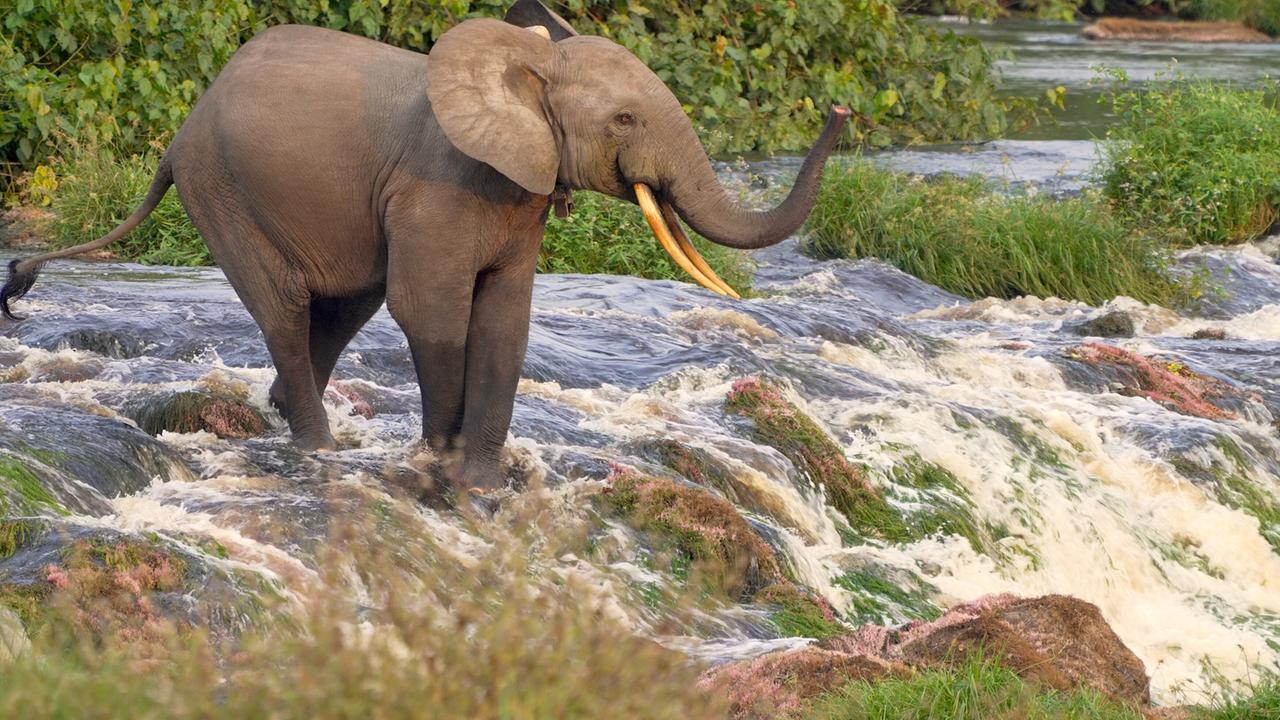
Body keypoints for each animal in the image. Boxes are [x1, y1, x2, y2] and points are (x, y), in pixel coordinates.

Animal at [1, 0, 850, 490]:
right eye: (625, 121)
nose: (841, 110)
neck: (527, 62)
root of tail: (178, 136)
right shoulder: (440, 184)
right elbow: (432, 310)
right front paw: (440, 465)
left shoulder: (517, 198)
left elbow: (506, 321)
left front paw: (480, 483)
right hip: (223, 193)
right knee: (287, 310)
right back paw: (321, 452)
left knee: (344, 306)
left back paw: (283, 414)